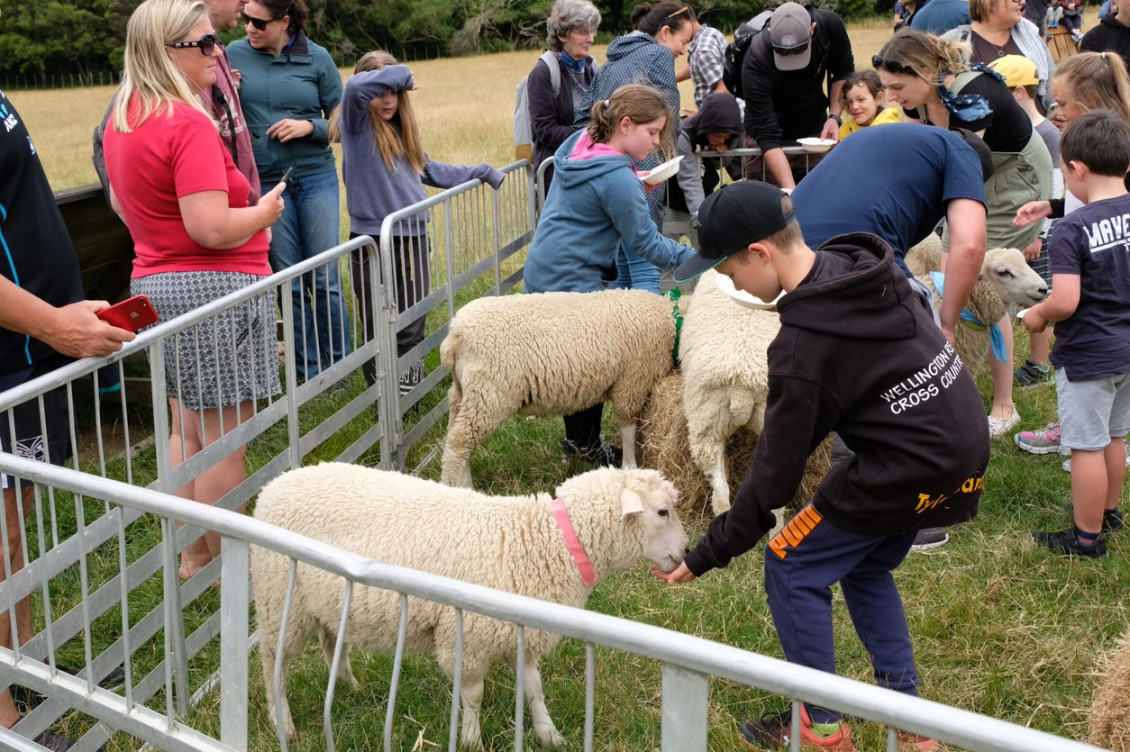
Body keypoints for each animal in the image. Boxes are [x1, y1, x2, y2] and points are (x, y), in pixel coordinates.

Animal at [250, 463, 682, 746]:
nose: (683, 554)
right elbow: (473, 694)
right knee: (273, 664)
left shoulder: (520, 633)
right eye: (663, 511)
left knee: (330, 641)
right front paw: (471, 738)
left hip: (324, 600)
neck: (542, 541)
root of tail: (272, 487)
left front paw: (549, 734)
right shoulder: (469, 636)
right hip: (278, 600)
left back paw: (348, 687)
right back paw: (282, 722)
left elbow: (533, 688)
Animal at [436, 287, 673, 486]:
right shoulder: (631, 383)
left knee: (457, 441)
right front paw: (631, 466)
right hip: (488, 395)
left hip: (462, 393)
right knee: (457, 445)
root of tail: (455, 334)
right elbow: (628, 426)